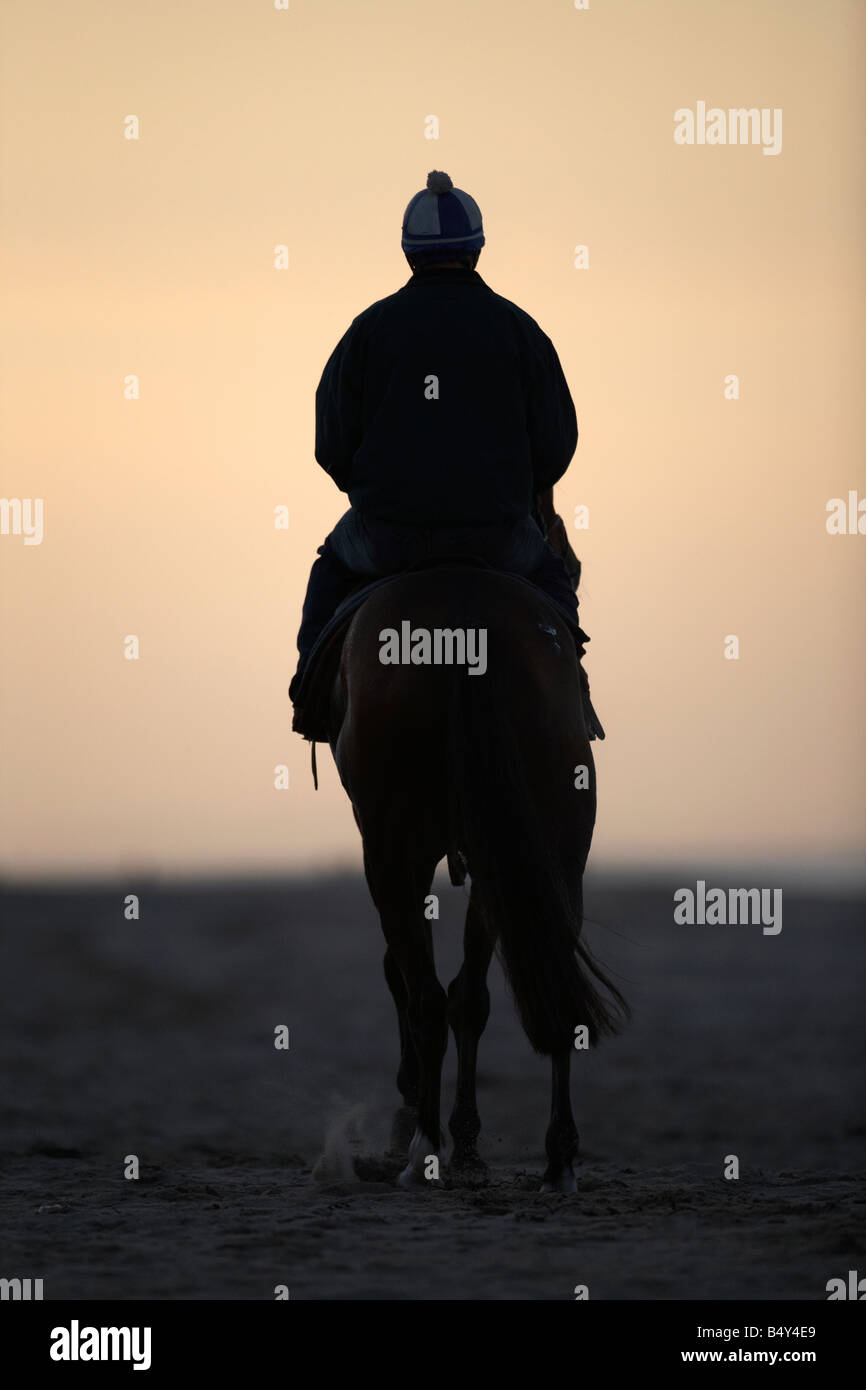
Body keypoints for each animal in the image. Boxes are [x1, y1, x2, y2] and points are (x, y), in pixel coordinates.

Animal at [325, 564, 631, 1195]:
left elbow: (412, 978)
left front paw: (428, 1127)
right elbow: (472, 996)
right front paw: (467, 1143)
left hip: (393, 847)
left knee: (422, 992)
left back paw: (422, 1150)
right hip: (553, 836)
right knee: (541, 973)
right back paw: (559, 1158)